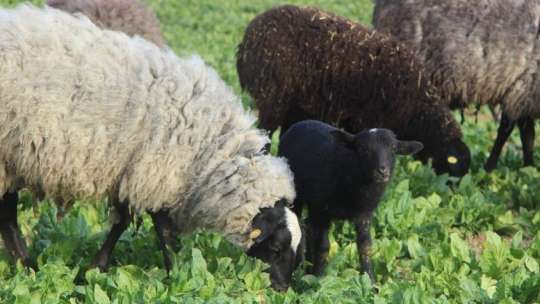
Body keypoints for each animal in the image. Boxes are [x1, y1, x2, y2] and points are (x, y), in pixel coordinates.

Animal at [0, 4, 304, 290]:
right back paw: (27, 266)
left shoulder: (129, 171)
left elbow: (121, 222)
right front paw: (177, 274)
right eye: (276, 247)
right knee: (8, 216)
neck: (212, 150)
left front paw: (95, 269)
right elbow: (163, 232)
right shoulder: (158, 173)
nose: (282, 289)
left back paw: (24, 265)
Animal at [238, 4, 470, 178]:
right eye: (453, 168)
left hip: (293, 107)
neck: (417, 110)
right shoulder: (367, 120)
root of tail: (248, 36)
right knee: (265, 136)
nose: (452, 193)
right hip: (273, 99)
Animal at [278, 120, 426, 282]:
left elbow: (365, 247)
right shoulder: (323, 211)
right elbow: (323, 247)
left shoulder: (364, 215)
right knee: (299, 227)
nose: (382, 171)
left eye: (393, 148)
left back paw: (307, 269)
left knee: (309, 228)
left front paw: (370, 281)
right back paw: (299, 269)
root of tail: (301, 123)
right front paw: (319, 279)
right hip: (294, 196)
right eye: (363, 149)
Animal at [374, 0, 540, 171]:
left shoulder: (521, 93)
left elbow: (525, 134)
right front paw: (490, 167)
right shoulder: (521, 90)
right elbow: (509, 132)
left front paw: (528, 167)